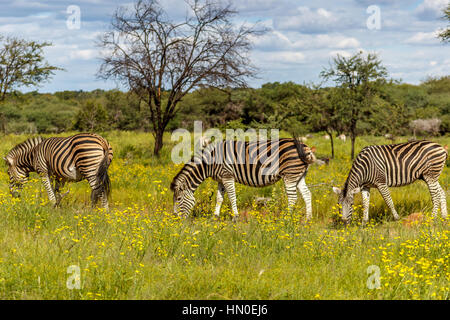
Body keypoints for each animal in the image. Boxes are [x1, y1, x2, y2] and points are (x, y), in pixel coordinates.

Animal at [170, 138, 316, 222]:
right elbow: (219, 198)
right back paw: (308, 219)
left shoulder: (227, 175)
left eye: (178, 199)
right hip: (299, 175)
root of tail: (306, 146)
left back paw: (286, 219)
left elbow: (232, 196)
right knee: (307, 194)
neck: (210, 162)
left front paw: (235, 217)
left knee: (292, 197)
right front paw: (215, 216)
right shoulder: (221, 179)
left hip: (290, 175)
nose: (175, 219)